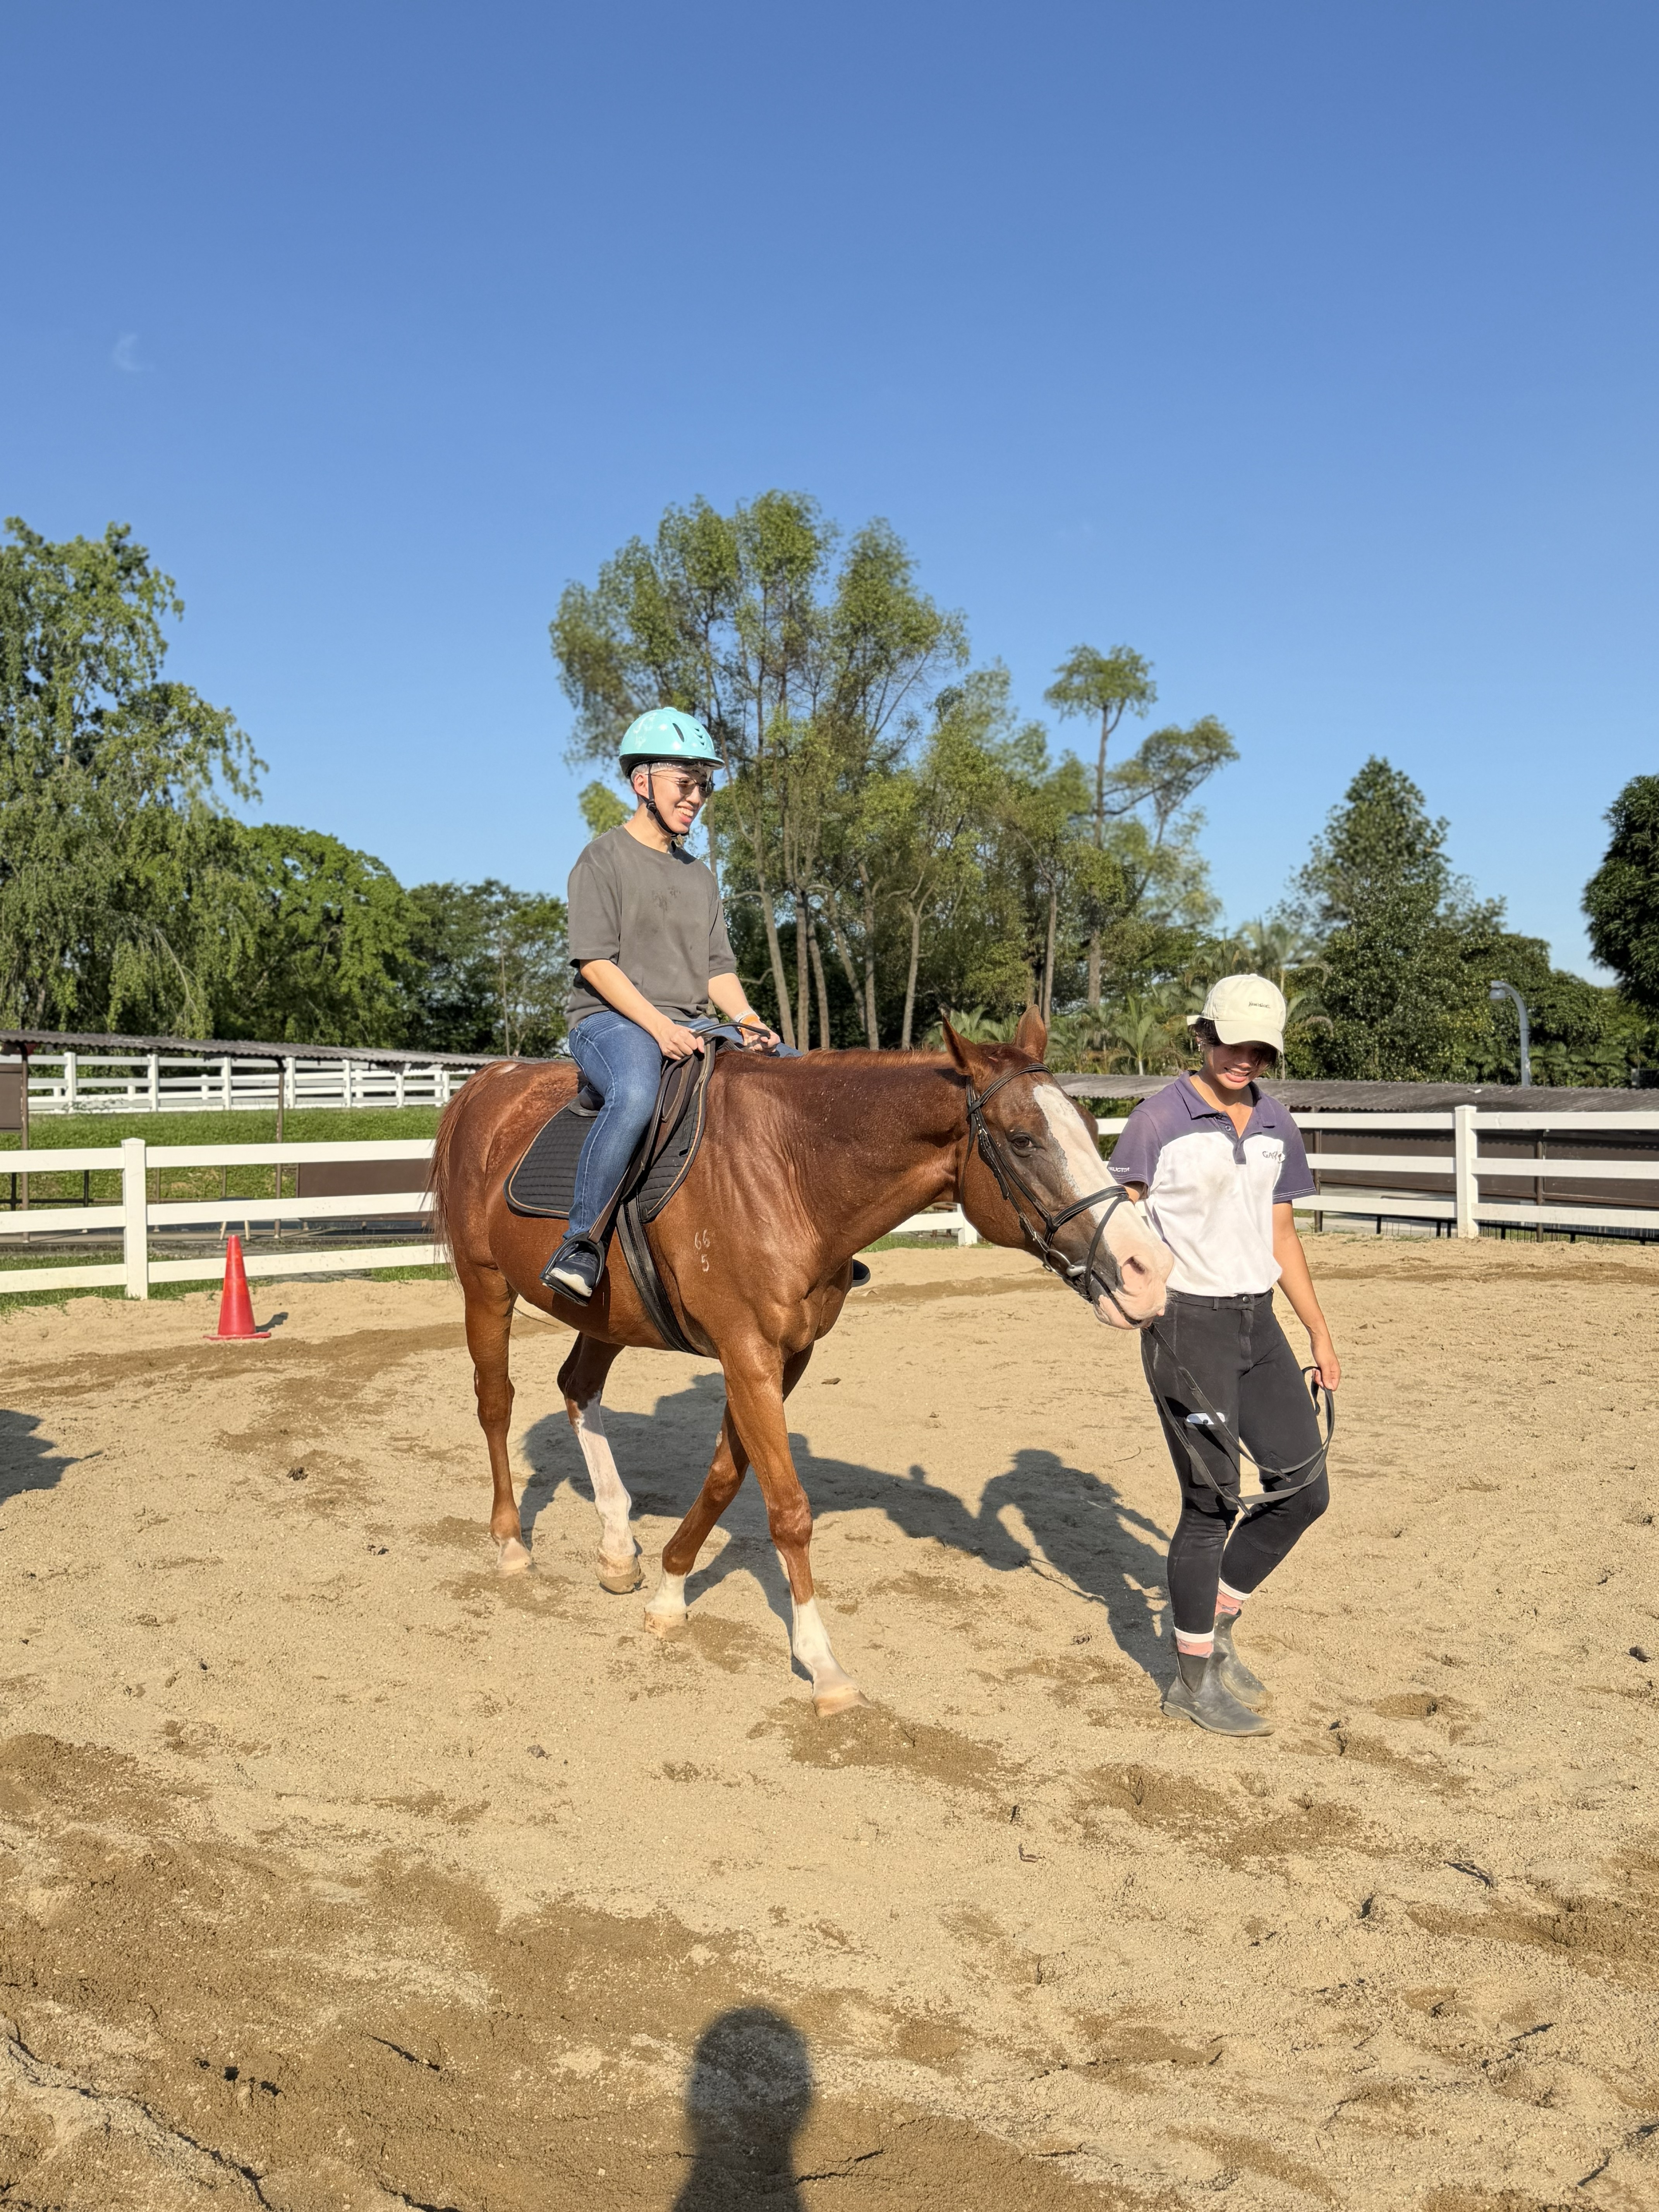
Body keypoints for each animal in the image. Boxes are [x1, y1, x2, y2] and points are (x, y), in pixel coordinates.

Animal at [427, 1011, 1173, 1714]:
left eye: (1089, 1126)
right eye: (1023, 1139)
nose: (1147, 1270)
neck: (789, 1172)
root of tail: (487, 1084)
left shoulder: (783, 1359)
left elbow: (727, 1476)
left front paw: (670, 1590)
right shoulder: (747, 1354)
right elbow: (788, 1509)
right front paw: (822, 1665)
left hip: (605, 1316)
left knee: (578, 1388)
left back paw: (616, 1546)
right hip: (485, 1287)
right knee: (495, 1402)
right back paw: (510, 1542)